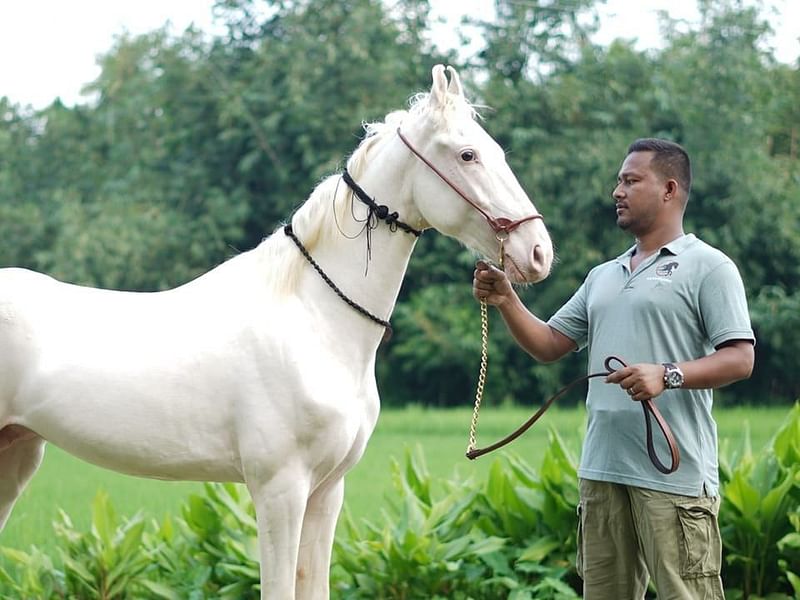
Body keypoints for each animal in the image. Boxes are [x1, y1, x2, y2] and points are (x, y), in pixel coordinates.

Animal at [0, 65, 552, 600]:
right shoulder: (279, 491)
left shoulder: (327, 492)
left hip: (17, 454)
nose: (538, 252)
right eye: (467, 154)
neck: (313, 319)